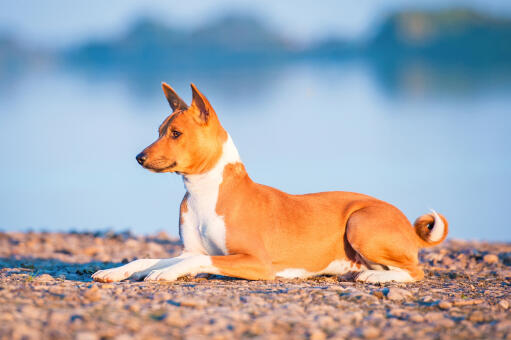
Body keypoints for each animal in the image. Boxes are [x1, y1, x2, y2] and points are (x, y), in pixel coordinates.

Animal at [92, 83, 448, 284]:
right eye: (158, 131)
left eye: (176, 133)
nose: (139, 157)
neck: (205, 193)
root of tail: (405, 221)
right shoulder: (188, 250)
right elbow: (149, 258)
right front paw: (117, 271)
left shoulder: (256, 262)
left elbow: (192, 261)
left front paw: (162, 274)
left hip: (360, 223)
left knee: (415, 271)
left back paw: (373, 276)